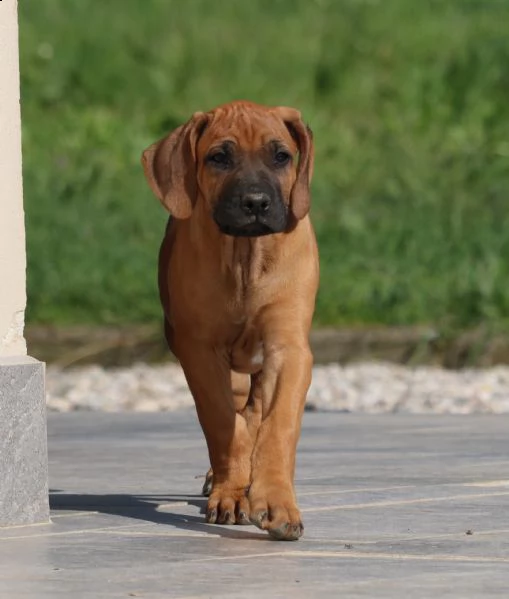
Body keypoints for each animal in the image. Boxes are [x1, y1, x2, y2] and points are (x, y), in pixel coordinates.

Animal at [141, 101, 318, 540]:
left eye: (281, 156)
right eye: (219, 157)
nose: (256, 203)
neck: (245, 257)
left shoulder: (289, 349)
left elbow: (278, 425)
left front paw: (276, 500)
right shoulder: (200, 352)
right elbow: (222, 423)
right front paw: (233, 494)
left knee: (256, 414)